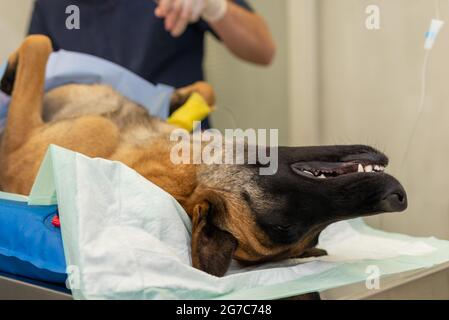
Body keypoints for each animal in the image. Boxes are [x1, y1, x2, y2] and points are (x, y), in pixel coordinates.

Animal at [0, 36, 406, 278]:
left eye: (303, 230)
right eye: (282, 223)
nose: (396, 198)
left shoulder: (19, 139)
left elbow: (38, 44)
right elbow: (39, 44)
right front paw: (180, 97)